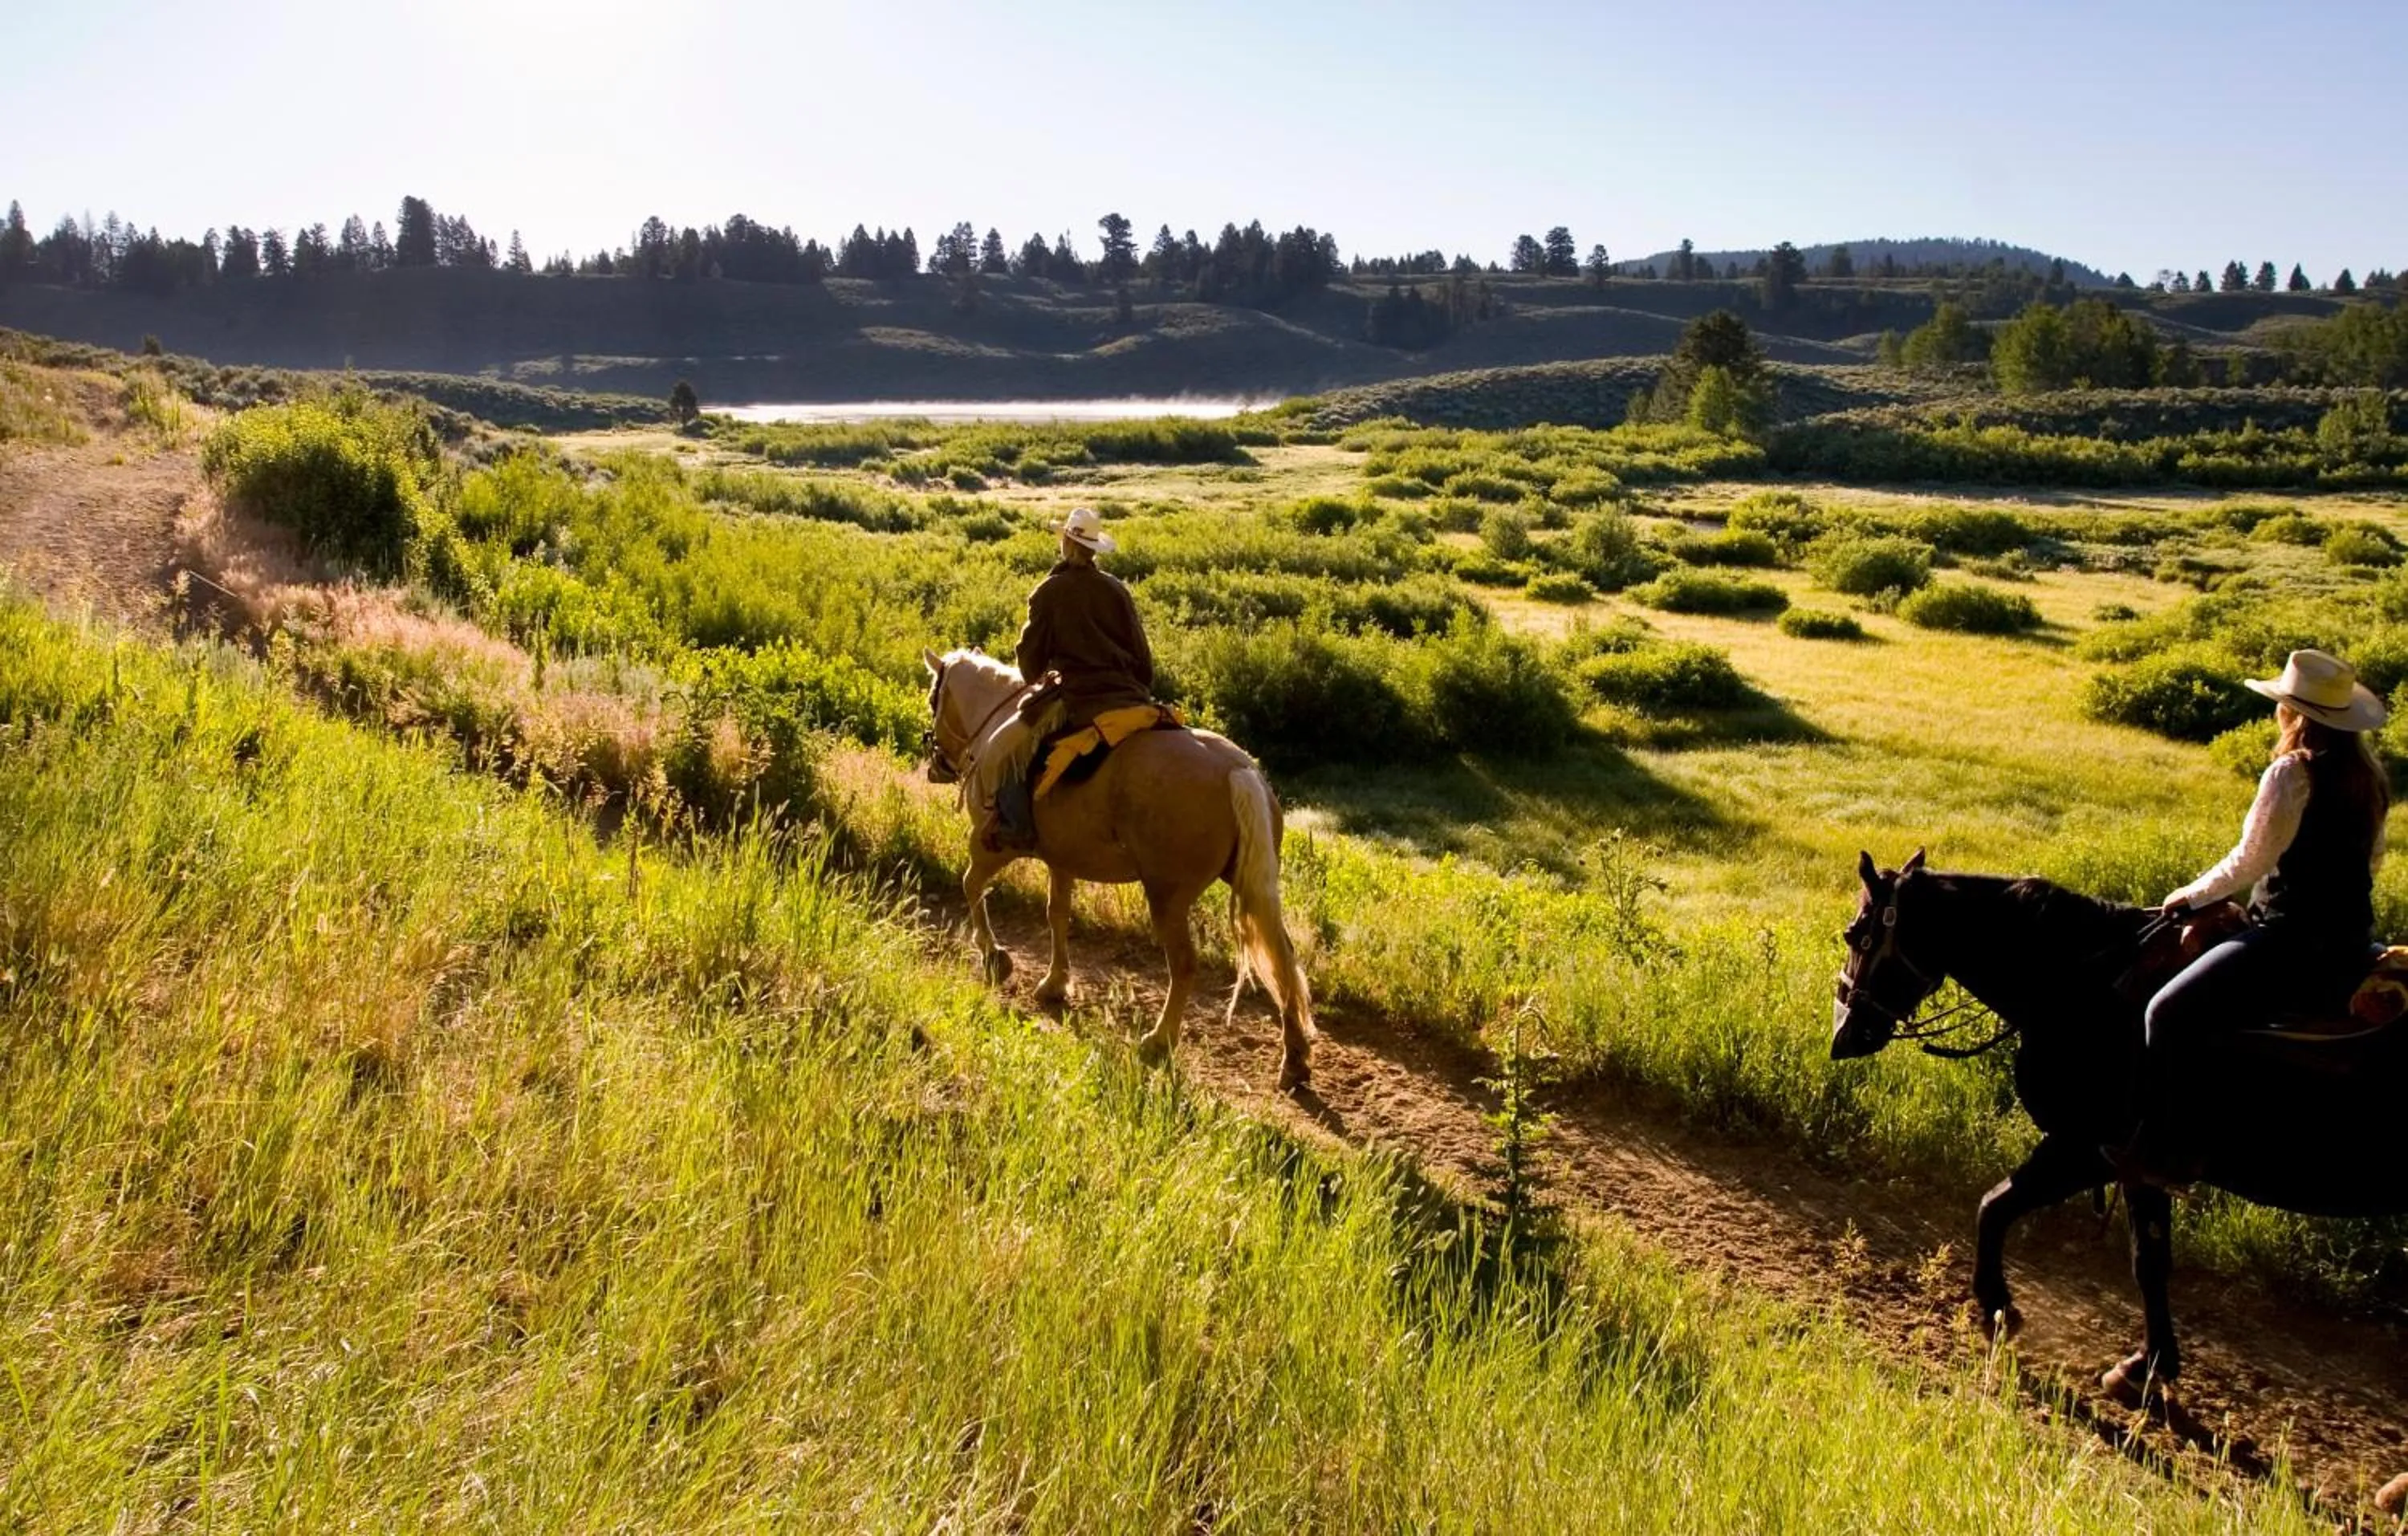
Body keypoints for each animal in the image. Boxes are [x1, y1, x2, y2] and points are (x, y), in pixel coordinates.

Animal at [919, 648, 1315, 1091]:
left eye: (933, 699)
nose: (936, 765)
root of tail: (1237, 771)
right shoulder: (1062, 860)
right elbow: (1057, 915)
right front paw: (1055, 983)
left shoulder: (990, 846)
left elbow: (971, 886)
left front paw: (995, 958)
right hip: (1251, 885)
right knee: (1283, 958)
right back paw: (1294, 1057)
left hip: (1167, 897)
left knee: (1184, 964)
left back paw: (1159, 1041)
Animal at [1829, 849, 2408, 1401]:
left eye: (1856, 934)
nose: (1844, 1037)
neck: (2087, 985)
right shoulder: (2128, 1165)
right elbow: (2148, 1259)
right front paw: (2149, 1365)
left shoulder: (2091, 1150)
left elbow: (1999, 1208)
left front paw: (2001, 1310)